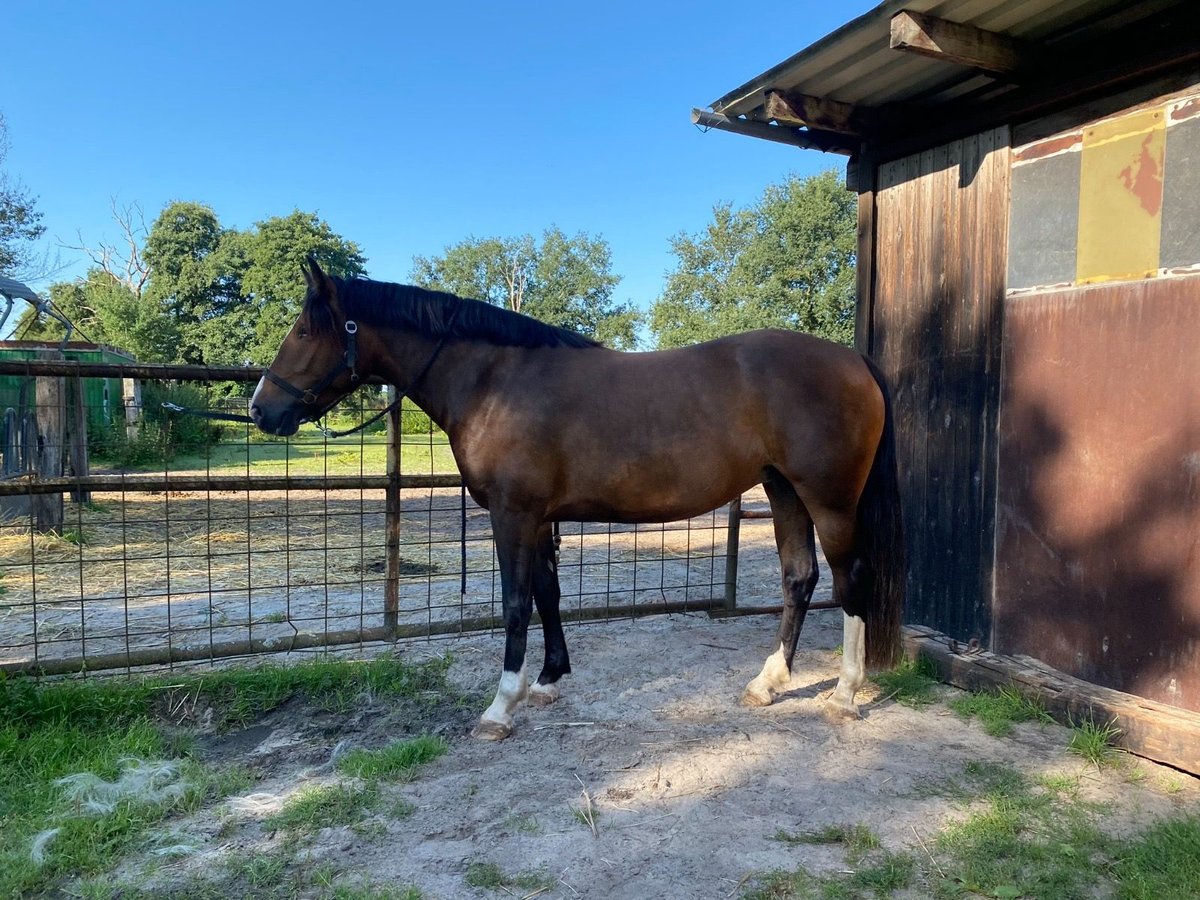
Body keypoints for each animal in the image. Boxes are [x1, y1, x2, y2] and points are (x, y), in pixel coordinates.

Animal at [255, 259, 907, 739]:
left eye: (305, 330)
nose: (262, 409)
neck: (496, 383)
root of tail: (854, 360)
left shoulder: (512, 515)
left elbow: (516, 602)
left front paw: (501, 708)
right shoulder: (539, 518)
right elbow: (548, 594)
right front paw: (547, 681)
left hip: (828, 499)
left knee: (851, 578)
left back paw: (845, 694)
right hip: (782, 489)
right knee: (799, 577)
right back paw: (767, 683)